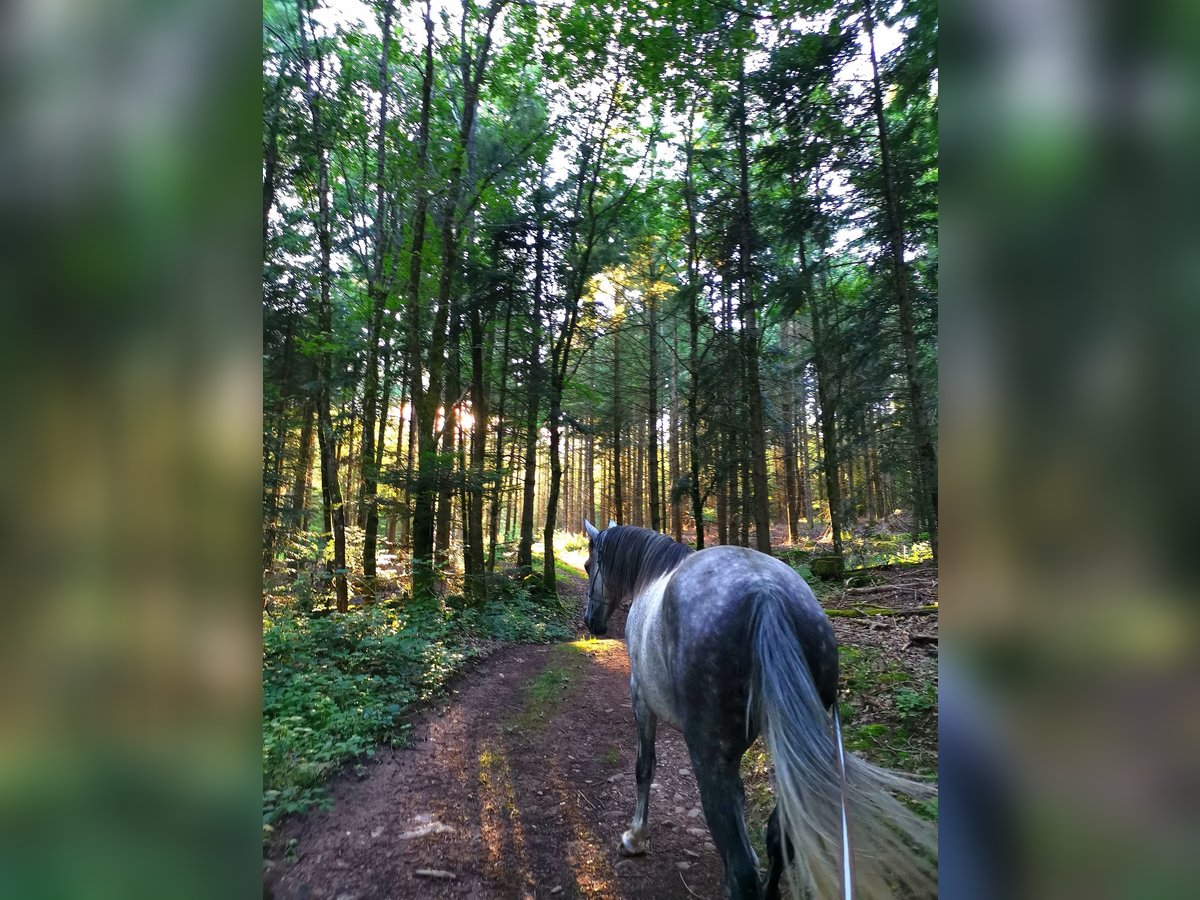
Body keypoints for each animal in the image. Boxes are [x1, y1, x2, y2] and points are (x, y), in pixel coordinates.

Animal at [580, 520, 936, 900]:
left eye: (588, 566)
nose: (591, 621)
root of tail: (767, 595)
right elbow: (741, 794)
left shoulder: (641, 699)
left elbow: (644, 768)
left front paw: (635, 837)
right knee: (779, 836)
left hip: (708, 755)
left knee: (741, 870)